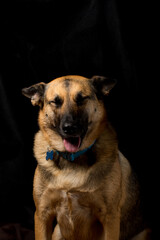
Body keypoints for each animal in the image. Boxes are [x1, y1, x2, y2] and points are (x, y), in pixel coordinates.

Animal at [21, 76, 149, 240]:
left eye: (81, 99)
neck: (72, 160)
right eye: (55, 101)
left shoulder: (110, 217)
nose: (69, 128)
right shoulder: (42, 214)